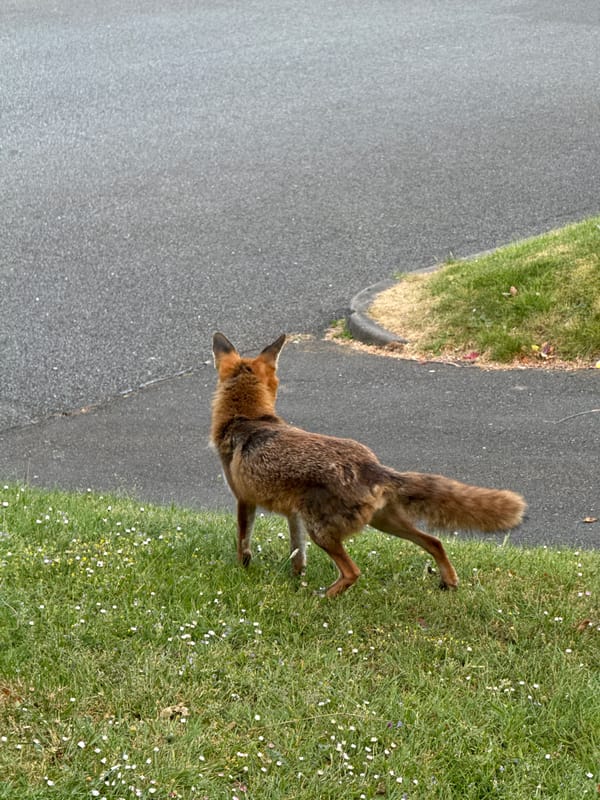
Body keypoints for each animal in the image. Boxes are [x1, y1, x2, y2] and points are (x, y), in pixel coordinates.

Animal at [210, 332, 526, 597]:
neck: (246, 419)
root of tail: (373, 467)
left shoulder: (244, 498)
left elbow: (244, 540)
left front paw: (243, 568)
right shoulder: (294, 513)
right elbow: (297, 552)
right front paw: (296, 576)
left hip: (324, 532)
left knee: (353, 572)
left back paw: (323, 597)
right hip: (383, 521)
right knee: (434, 541)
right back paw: (448, 581)